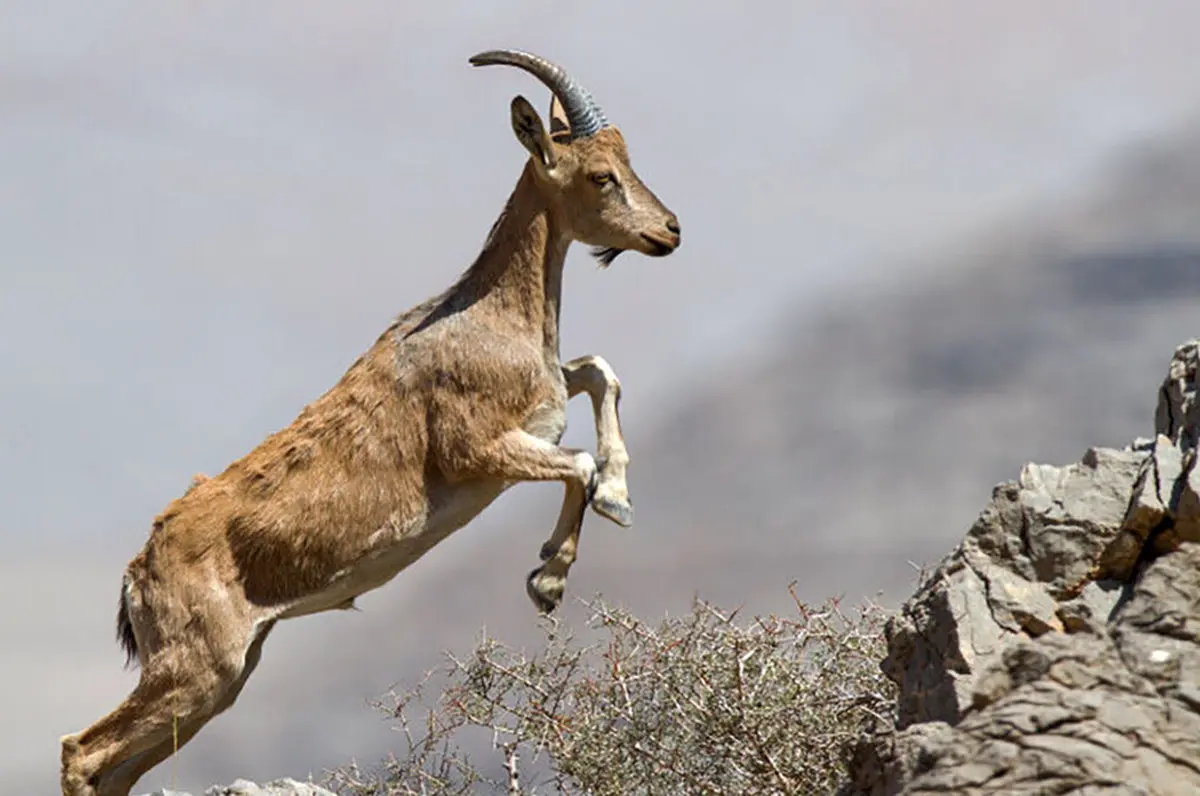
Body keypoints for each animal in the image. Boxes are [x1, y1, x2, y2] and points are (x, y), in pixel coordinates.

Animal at [60, 51, 681, 796]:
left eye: (627, 158)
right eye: (600, 174)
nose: (670, 230)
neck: (492, 316)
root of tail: (137, 573)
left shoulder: (541, 411)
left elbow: (598, 373)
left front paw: (615, 501)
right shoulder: (479, 451)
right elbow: (579, 461)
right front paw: (551, 578)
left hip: (222, 681)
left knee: (114, 769)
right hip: (197, 666)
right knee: (81, 751)